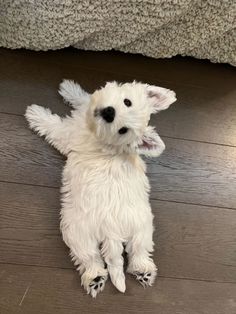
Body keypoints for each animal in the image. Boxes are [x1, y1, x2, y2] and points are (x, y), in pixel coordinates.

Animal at [25, 80, 175, 296]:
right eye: (127, 102)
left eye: (123, 130)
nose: (109, 113)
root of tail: (112, 232)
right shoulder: (87, 107)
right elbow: (84, 97)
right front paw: (69, 88)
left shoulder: (67, 134)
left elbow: (53, 125)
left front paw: (35, 113)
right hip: (142, 227)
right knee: (138, 250)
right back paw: (143, 271)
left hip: (76, 230)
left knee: (89, 257)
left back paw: (94, 277)